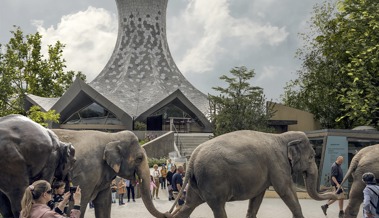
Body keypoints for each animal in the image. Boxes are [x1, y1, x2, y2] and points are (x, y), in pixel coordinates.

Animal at [169, 130, 338, 217]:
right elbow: (285, 190)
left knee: (188, 205)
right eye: (311, 157)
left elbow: (257, 198)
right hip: (212, 180)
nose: (336, 192)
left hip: (197, 183)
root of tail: (192, 157)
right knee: (218, 207)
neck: (282, 137)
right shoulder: (278, 164)